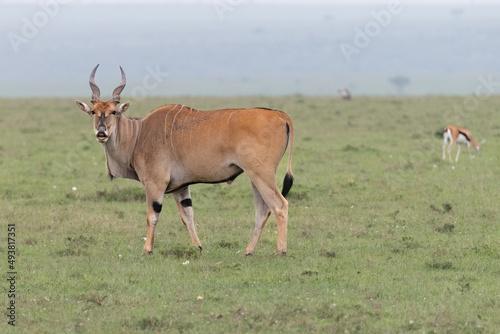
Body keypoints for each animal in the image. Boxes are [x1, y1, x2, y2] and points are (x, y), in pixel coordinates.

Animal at [74, 66, 292, 256]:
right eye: (93, 112)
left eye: (114, 112)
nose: (101, 132)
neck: (138, 134)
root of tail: (281, 115)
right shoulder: (181, 187)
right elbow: (188, 216)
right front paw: (198, 247)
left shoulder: (155, 184)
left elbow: (152, 216)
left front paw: (147, 250)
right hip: (255, 177)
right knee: (262, 211)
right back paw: (248, 251)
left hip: (261, 174)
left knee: (279, 205)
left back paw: (280, 250)